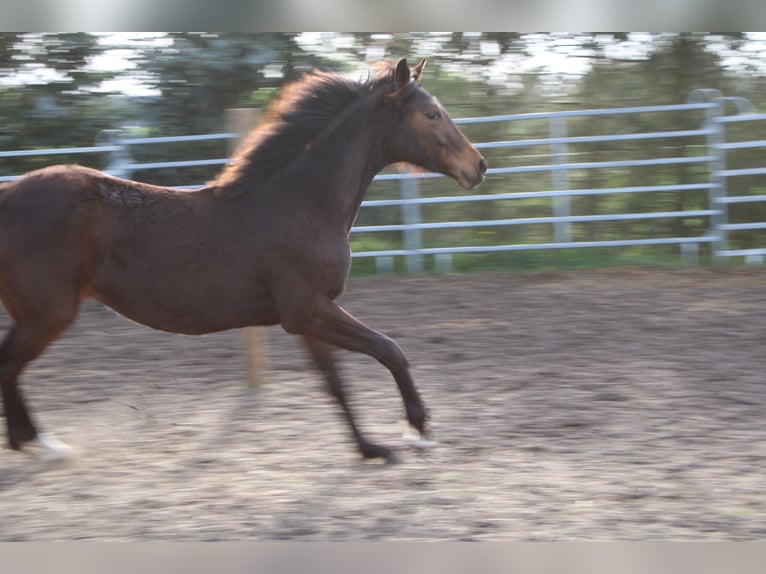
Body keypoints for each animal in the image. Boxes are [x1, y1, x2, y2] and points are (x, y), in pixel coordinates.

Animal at [0, 58, 488, 464]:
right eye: (432, 114)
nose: (479, 166)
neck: (300, 203)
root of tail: (8, 194)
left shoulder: (306, 318)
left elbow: (335, 383)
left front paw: (370, 448)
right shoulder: (309, 310)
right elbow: (390, 350)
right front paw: (417, 431)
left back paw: (27, 443)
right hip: (48, 314)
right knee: (9, 364)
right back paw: (42, 445)